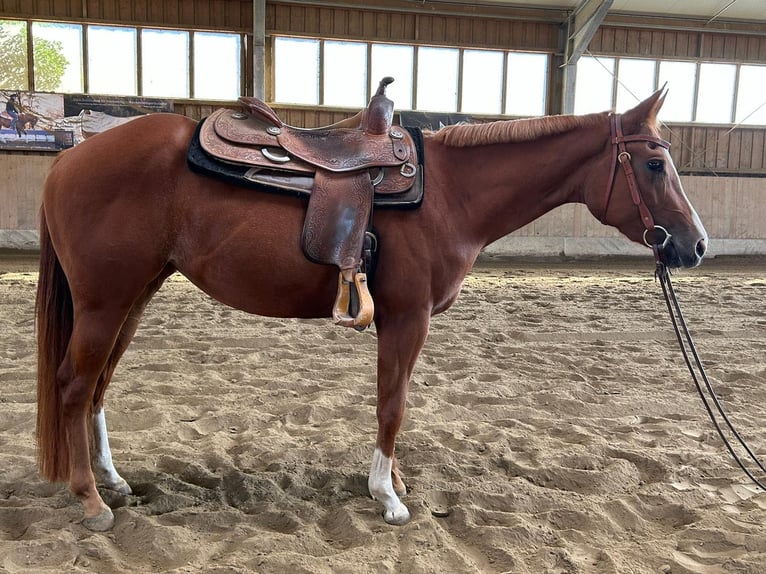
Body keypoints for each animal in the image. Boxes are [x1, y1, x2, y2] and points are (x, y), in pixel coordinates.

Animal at [36, 90, 708, 532]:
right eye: (654, 163)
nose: (695, 245)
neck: (449, 194)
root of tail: (69, 160)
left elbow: (396, 401)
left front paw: (396, 482)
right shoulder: (407, 318)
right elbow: (393, 403)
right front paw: (388, 497)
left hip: (133, 296)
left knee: (97, 386)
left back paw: (113, 483)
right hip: (105, 301)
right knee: (74, 385)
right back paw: (91, 500)